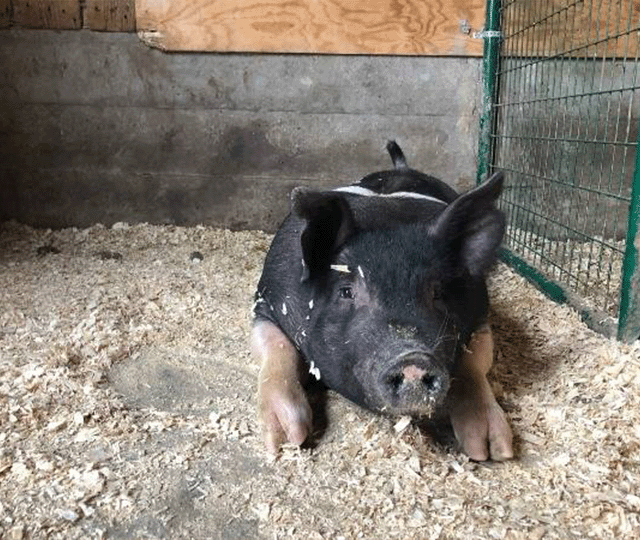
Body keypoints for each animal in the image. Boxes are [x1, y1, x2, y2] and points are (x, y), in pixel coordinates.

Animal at [251, 142, 513, 461]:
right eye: (346, 291)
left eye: (438, 292)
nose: (413, 359)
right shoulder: (266, 301)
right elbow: (276, 348)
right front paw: (284, 441)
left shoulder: (481, 315)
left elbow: (474, 364)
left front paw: (491, 450)